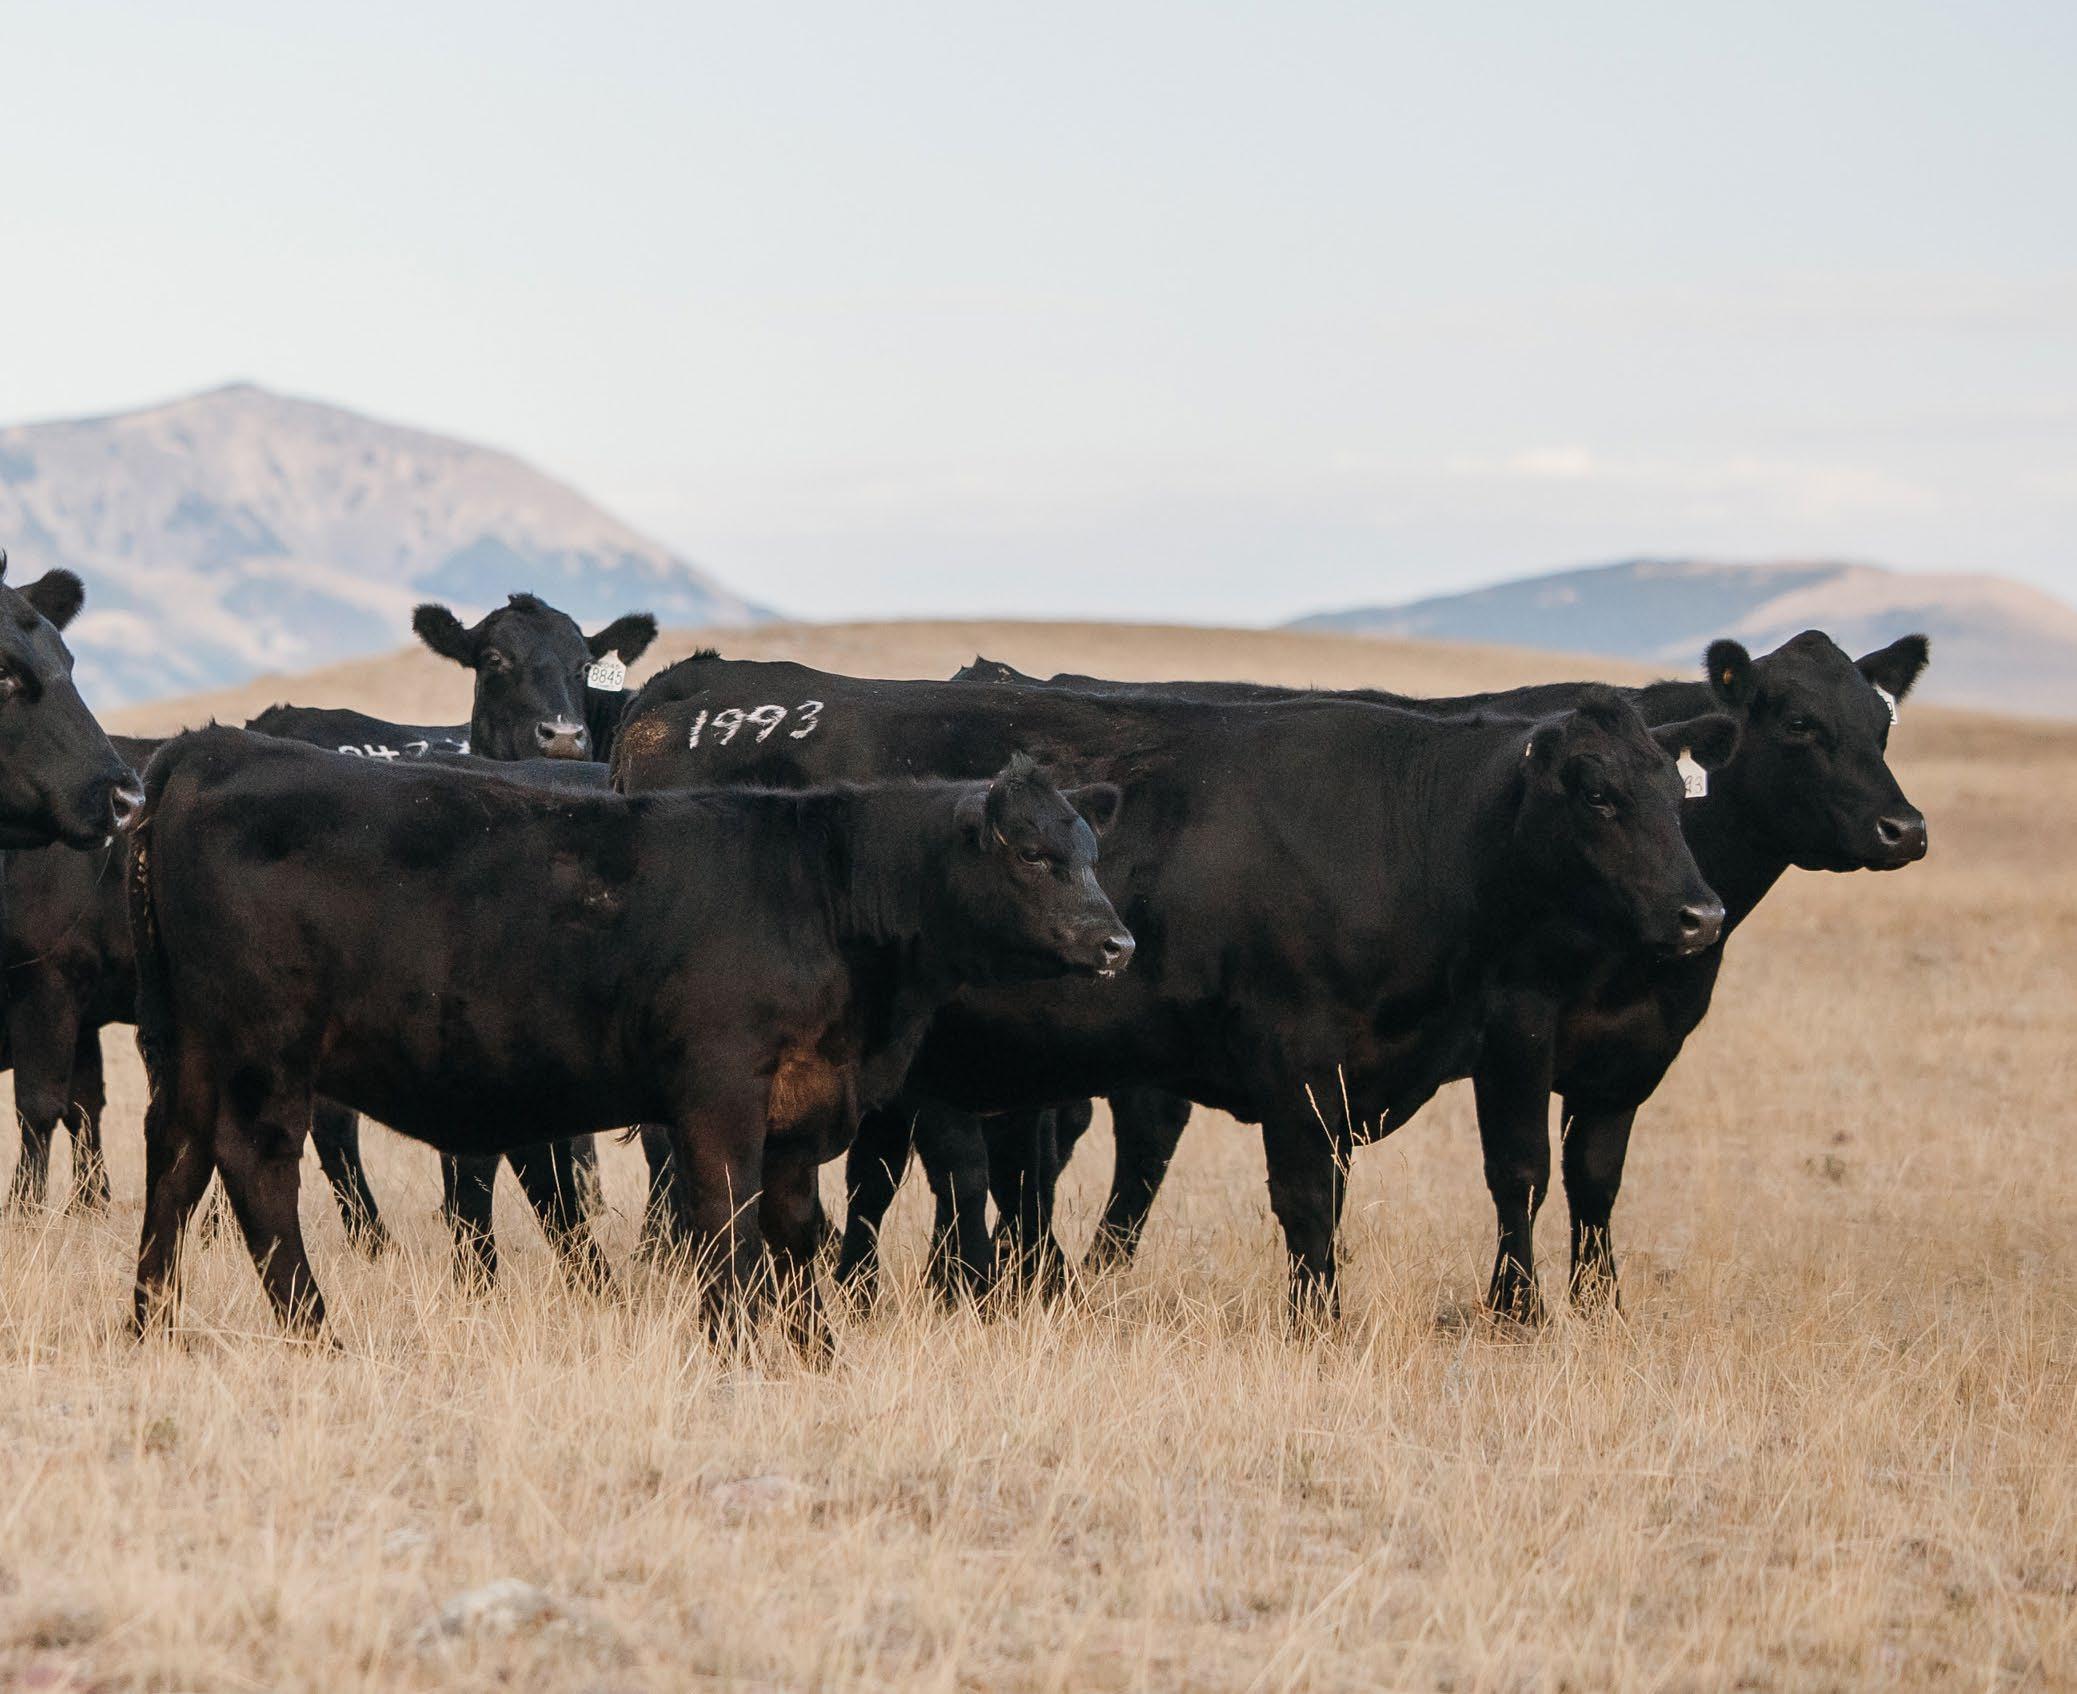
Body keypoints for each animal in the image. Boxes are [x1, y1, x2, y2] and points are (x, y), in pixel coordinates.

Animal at [126, 730, 1131, 1351]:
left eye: (1090, 851)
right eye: (1033, 854)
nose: (1116, 943)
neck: (822, 891)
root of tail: (214, 747)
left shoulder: (800, 1104)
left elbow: (796, 1230)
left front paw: (814, 1350)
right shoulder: (718, 1092)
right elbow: (724, 1219)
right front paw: (738, 1344)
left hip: (190, 1049)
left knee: (175, 1158)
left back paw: (151, 1325)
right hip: (266, 1051)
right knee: (256, 1169)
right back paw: (317, 1335)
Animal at [611, 655, 1735, 1317]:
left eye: (1675, 794)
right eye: (1596, 795)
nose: (1699, 914)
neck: (1408, 833)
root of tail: (698, 693)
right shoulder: (1299, 1064)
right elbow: (1310, 1204)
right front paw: (1320, 1325)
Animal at [933, 633, 1929, 1315]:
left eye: (1882, 724)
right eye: (1799, 724)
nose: (1904, 829)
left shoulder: (1632, 1054)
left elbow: (1595, 1177)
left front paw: (1598, 1304)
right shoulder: (1511, 1027)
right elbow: (1516, 1168)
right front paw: (1515, 1309)